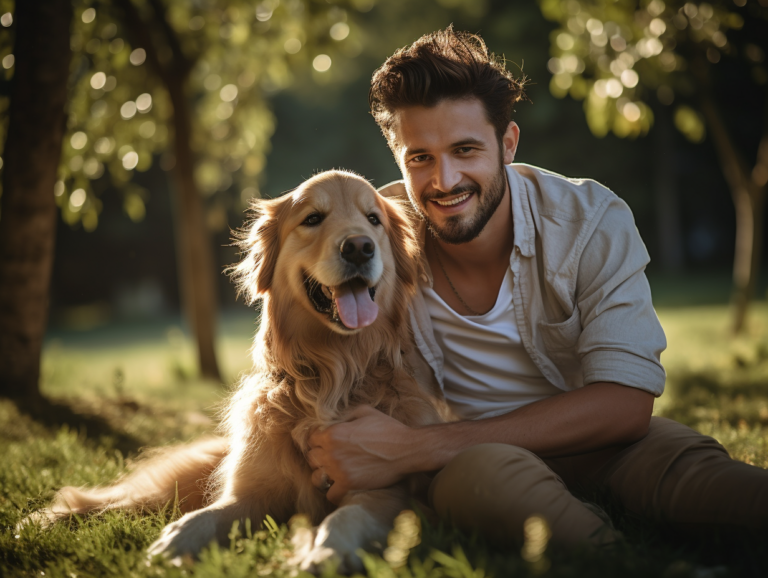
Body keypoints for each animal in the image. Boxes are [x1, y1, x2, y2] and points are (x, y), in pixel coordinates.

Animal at [37, 169, 444, 568]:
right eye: (312, 219)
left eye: (373, 219)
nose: (359, 247)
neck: (333, 376)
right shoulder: (249, 494)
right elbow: (205, 516)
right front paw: (174, 542)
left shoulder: (381, 488)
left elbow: (347, 516)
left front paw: (325, 552)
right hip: (171, 487)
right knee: (98, 500)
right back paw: (41, 522)